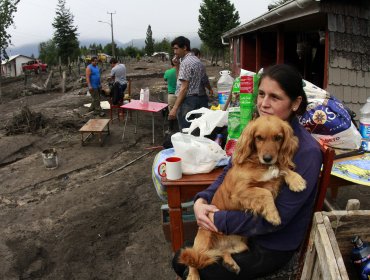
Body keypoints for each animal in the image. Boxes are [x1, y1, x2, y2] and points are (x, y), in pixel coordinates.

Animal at [179, 115, 306, 278]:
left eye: (278, 138)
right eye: (259, 137)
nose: (268, 158)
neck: (260, 164)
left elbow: (282, 168)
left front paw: (296, 180)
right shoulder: (240, 191)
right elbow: (265, 192)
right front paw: (273, 215)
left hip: (241, 246)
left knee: (220, 252)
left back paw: (230, 264)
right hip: (204, 238)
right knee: (194, 260)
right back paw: (193, 276)